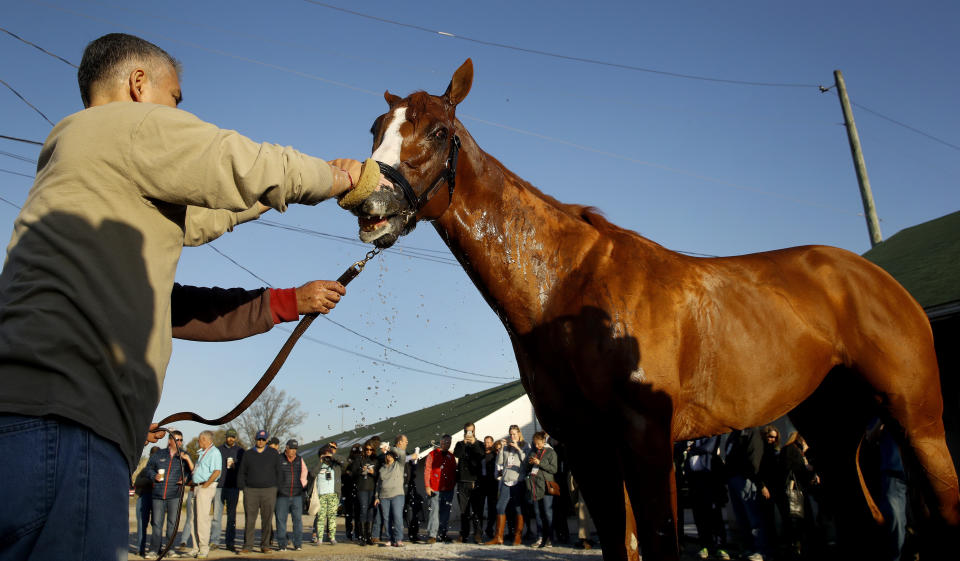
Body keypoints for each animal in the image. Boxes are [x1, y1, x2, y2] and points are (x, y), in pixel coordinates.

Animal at [354, 59, 960, 556]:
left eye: (439, 131)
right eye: (376, 129)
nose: (369, 204)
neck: (566, 288)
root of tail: (874, 276)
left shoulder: (646, 438)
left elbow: (661, 542)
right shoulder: (589, 445)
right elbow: (623, 547)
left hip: (917, 421)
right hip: (832, 431)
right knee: (871, 526)